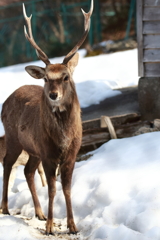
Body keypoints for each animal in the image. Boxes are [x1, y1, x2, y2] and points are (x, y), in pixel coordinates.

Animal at [0, 0, 94, 235]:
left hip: (33, 150)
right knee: (7, 164)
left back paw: (39, 213)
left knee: (27, 171)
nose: (53, 95)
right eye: (45, 79)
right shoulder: (48, 154)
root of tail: (5, 101)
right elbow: (52, 189)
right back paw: (5, 208)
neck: (63, 139)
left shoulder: (71, 154)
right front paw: (51, 226)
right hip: (14, 138)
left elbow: (67, 189)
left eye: (65, 76)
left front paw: (72, 225)